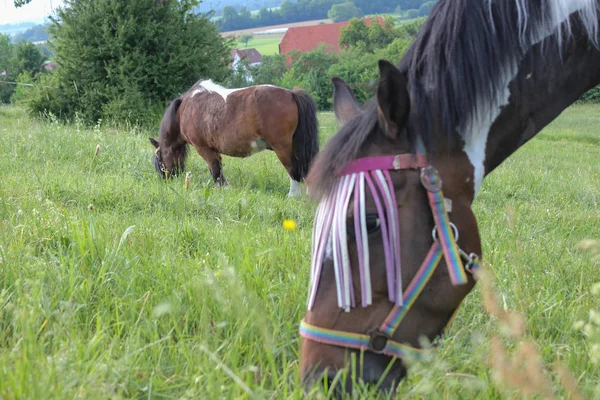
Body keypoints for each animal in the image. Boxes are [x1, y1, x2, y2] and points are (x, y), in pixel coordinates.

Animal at [149, 79, 318, 197]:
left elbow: (215, 170)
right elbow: (219, 168)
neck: (185, 110)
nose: (165, 179)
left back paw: (293, 195)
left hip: (282, 147)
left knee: (293, 169)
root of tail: (291, 94)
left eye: (159, 159)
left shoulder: (204, 148)